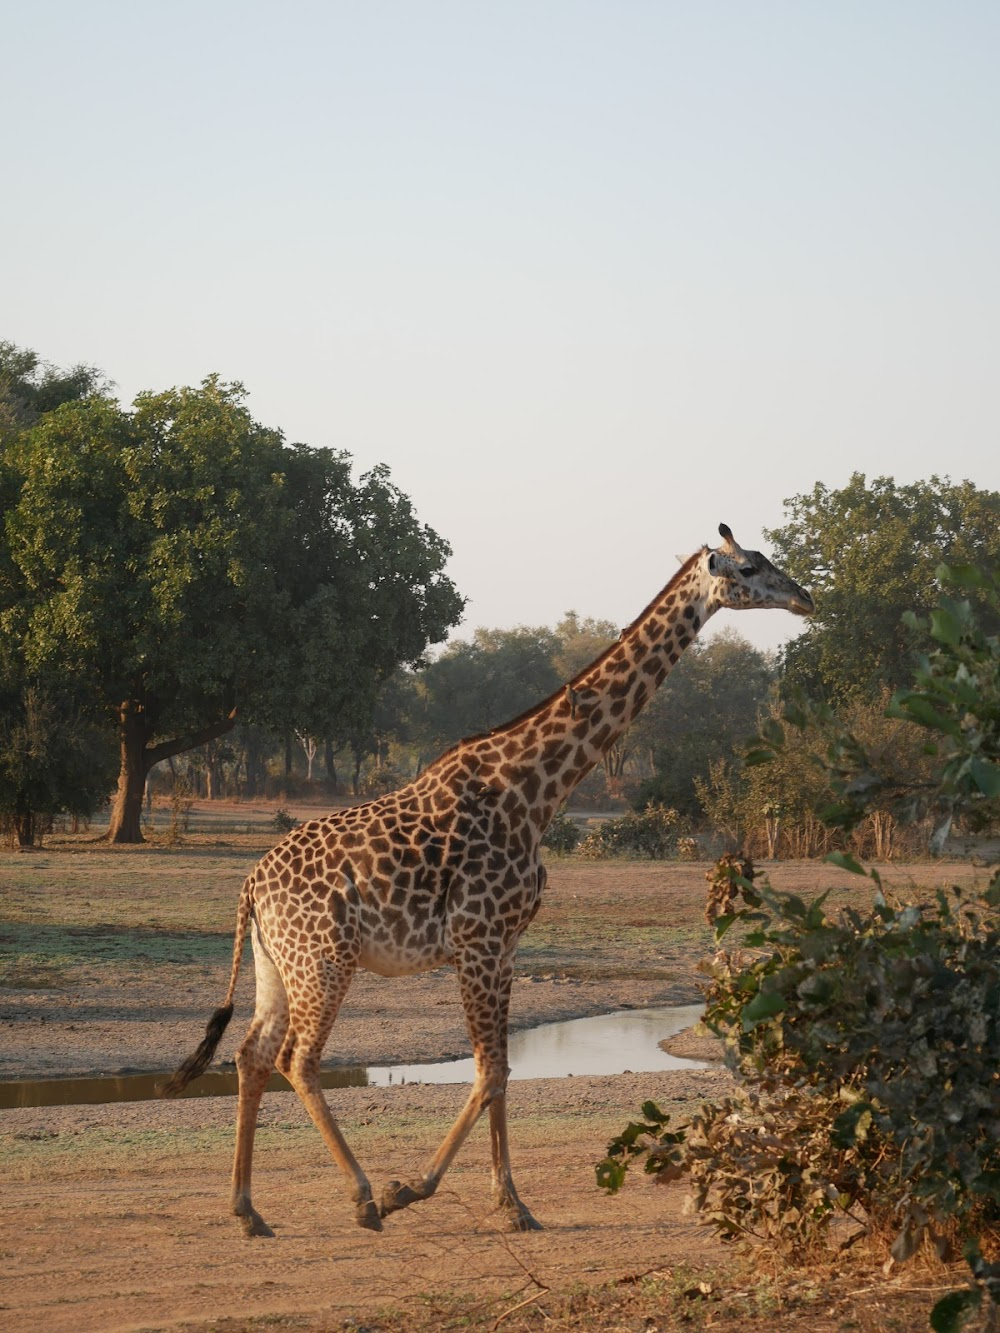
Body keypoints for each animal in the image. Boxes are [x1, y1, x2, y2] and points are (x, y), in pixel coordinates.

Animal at [164, 522, 816, 1237]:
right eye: (750, 566)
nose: (804, 596)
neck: (537, 790)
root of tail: (252, 885)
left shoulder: (505, 946)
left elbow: (500, 1071)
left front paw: (514, 1203)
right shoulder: (477, 941)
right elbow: (486, 1073)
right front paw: (408, 1190)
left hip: (276, 963)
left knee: (251, 1056)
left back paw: (247, 1209)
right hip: (325, 959)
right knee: (297, 1060)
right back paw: (362, 1197)